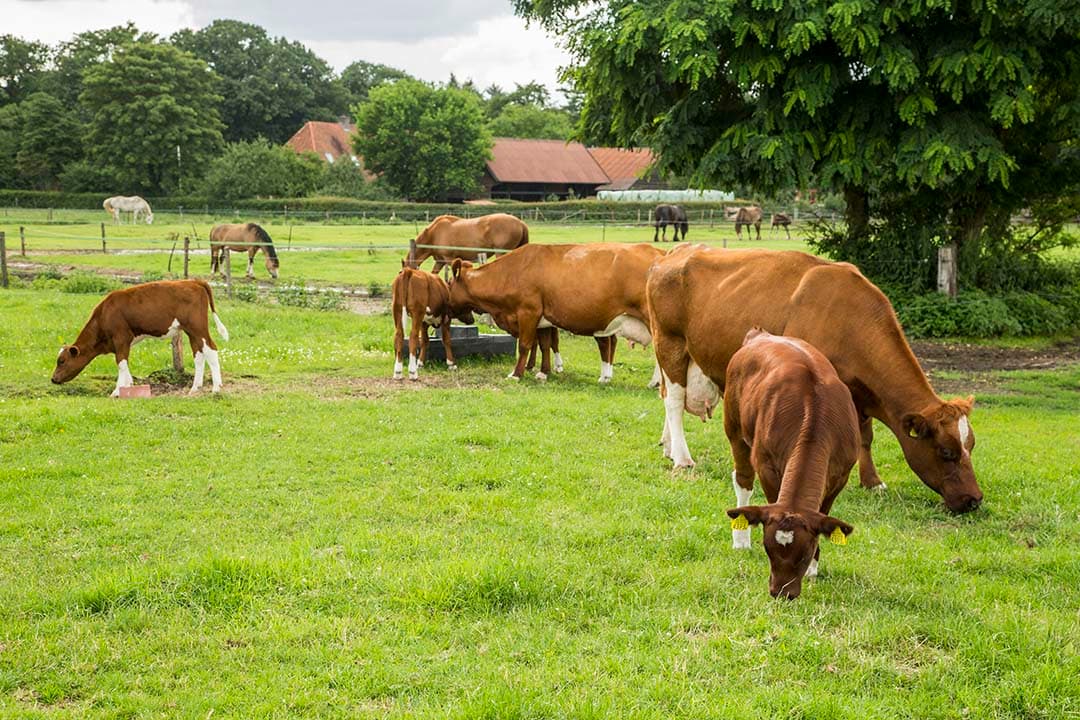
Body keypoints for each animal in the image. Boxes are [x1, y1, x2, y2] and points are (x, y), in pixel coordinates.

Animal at [51, 279, 229, 396]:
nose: (53, 379)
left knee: (211, 350)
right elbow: (124, 365)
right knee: (199, 354)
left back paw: (216, 388)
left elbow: (121, 364)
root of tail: (193, 281)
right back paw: (195, 388)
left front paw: (117, 391)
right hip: (190, 331)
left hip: (198, 328)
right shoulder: (122, 343)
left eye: (62, 361)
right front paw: (129, 386)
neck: (105, 314)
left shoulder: (121, 338)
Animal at [449, 243, 664, 383]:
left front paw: (516, 374)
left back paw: (654, 383)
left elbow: (525, 345)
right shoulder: (544, 318)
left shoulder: (528, 312)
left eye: (449, 282)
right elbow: (545, 345)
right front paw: (544, 372)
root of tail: (659, 252)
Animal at [648, 245, 983, 513]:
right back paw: (681, 457)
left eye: (972, 446)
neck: (850, 319)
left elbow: (866, 436)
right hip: (670, 343)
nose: (974, 500)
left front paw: (872, 481)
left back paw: (668, 447)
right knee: (674, 400)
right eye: (947, 452)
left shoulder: (859, 394)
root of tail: (677, 251)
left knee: (665, 395)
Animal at [723, 328, 859, 599]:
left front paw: (814, 569)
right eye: (768, 550)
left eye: (804, 554)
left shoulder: (841, 475)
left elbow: (824, 513)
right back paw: (741, 539)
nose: (781, 592)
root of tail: (760, 335)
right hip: (734, 428)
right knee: (743, 479)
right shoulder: (766, 466)